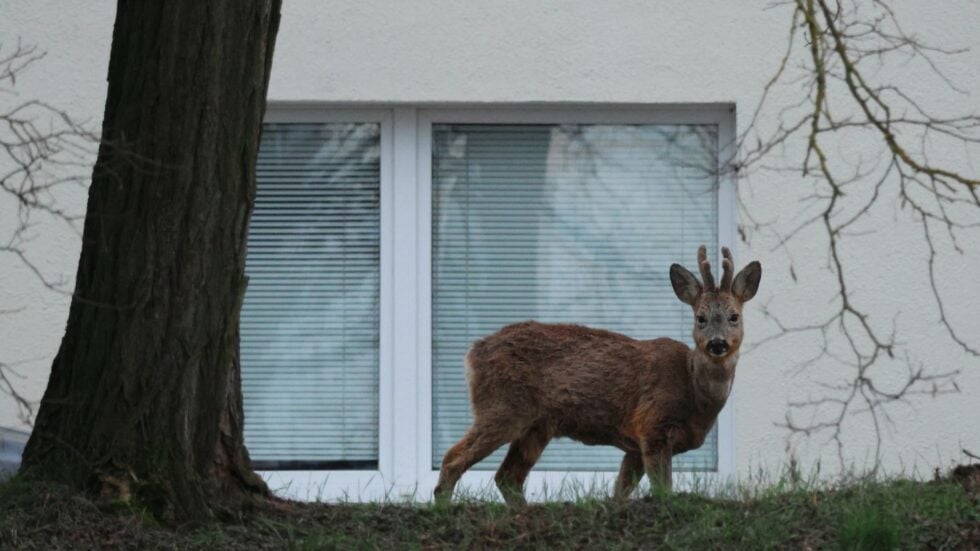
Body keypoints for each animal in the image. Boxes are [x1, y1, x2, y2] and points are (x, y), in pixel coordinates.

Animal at [433, 246, 761, 506]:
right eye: (700, 318)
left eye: (734, 317)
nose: (717, 343)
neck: (695, 397)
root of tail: (474, 352)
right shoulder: (652, 424)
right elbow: (662, 490)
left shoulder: (634, 446)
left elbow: (620, 492)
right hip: (503, 407)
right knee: (453, 459)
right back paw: (443, 507)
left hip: (536, 426)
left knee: (508, 477)